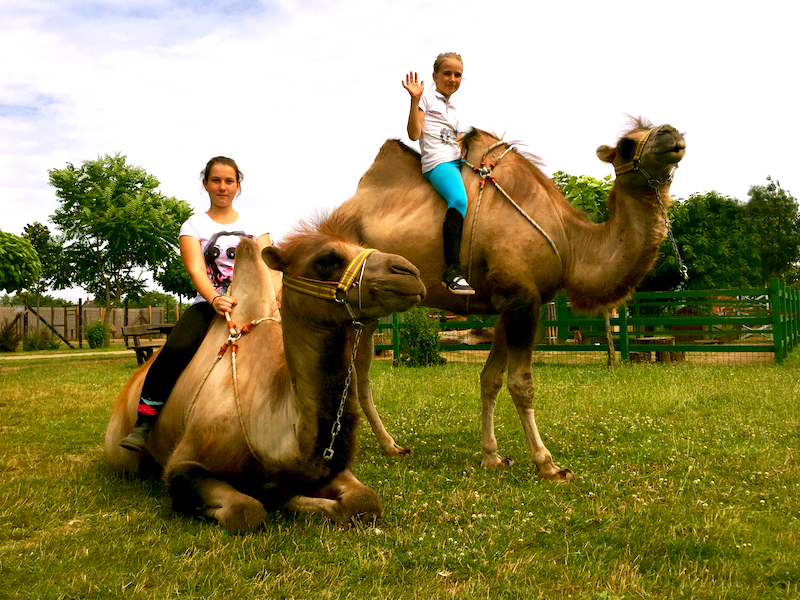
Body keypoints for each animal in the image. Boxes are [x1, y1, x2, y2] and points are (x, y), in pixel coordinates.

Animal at [109, 218, 428, 532]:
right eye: (327, 259)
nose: (409, 272)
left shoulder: (320, 470)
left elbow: (365, 501)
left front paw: (279, 493)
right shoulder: (184, 464)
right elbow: (246, 510)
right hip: (123, 451)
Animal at [334, 118, 684, 482]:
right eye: (626, 145)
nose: (671, 134)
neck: (571, 242)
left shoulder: (510, 304)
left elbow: (490, 379)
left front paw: (492, 456)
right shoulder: (522, 299)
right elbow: (521, 383)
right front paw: (548, 464)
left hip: (368, 312)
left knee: (360, 375)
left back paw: (390, 445)